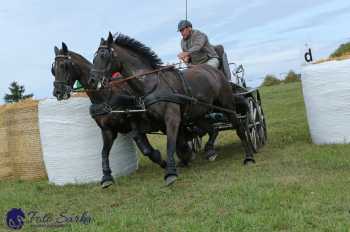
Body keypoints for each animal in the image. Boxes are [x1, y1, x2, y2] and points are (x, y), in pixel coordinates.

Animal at [50, 42, 168, 188]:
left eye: (64, 65)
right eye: (53, 69)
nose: (57, 92)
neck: (105, 96)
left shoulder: (134, 122)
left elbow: (145, 149)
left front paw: (163, 161)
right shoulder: (107, 130)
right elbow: (104, 152)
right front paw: (106, 176)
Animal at [89, 32, 254, 185]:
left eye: (103, 55)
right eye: (93, 58)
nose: (92, 81)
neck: (151, 84)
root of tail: (216, 72)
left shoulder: (171, 119)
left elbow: (170, 144)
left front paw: (170, 173)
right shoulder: (154, 122)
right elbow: (170, 143)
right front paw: (183, 158)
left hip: (227, 106)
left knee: (239, 128)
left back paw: (249, 156)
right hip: (198, 113)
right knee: (212, 129)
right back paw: (209, 150)